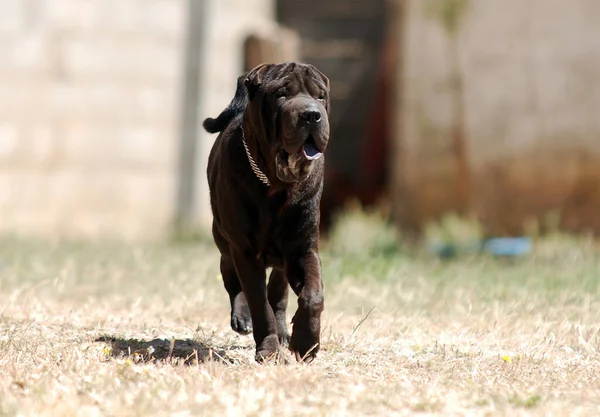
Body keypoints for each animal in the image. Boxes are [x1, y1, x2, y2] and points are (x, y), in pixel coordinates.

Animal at [204, 61, 330, 360]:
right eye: (282, 94)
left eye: (321, 96)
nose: (312, 115)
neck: (276, 186)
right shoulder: (245, 251)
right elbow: (259, 304)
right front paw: (269, 350)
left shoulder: (304, 249)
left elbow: (313, 295)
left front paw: (306, 342)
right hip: (224, 240)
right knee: (231, 277)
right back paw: (242, 317)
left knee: (279, 293)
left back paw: (285, 332)